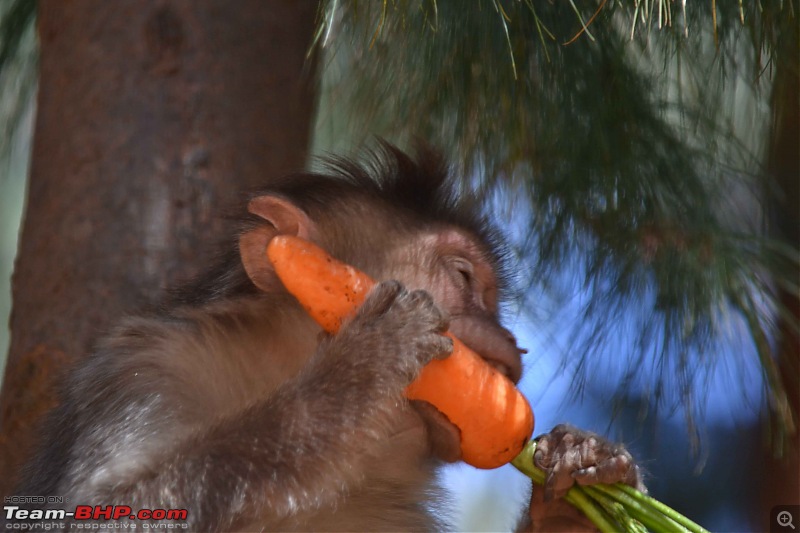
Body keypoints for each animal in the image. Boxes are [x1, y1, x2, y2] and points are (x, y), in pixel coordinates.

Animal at [12, 143, 644, 528]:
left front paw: (579, 488)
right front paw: (362, 364)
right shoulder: (143, 369)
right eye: (466, 279)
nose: (509, 342)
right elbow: (110, 508)